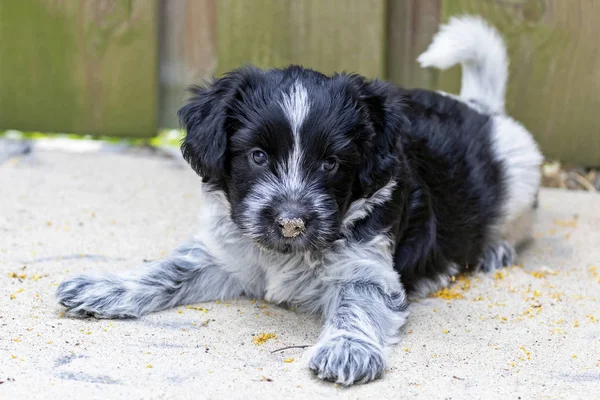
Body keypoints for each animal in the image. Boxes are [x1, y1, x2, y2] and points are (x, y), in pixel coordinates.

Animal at [57, 17, 544, 386]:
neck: (285, 254)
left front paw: (347, 348)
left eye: (331, 163)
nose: (291, 222)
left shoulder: (368, 270)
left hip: (521, 178)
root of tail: (479, 107)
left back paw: (494, 250)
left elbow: (357, 305)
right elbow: (169, 269)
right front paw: (106, 286)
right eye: (257, 156)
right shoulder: (224, 254)